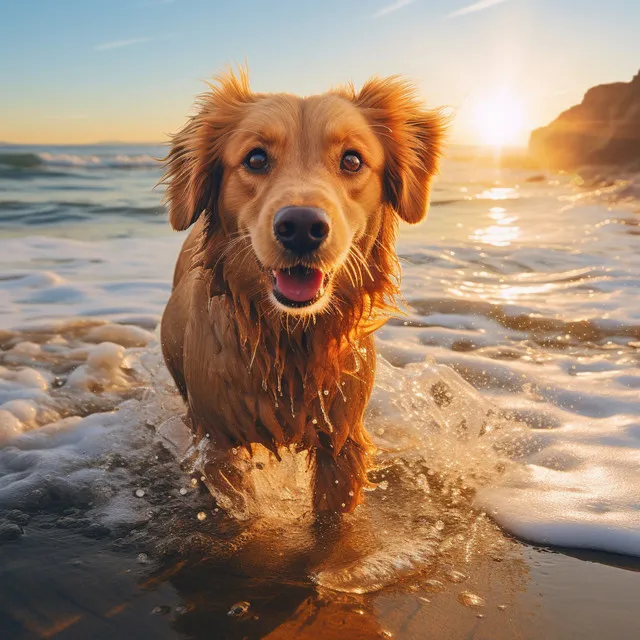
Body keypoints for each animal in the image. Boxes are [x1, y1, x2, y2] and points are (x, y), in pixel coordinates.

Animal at [160, 69, 444, 516]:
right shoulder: (218, 446)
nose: (301, 227)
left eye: (352, 160)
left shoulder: (343, 441)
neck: (290, 337)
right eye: (256, 159)